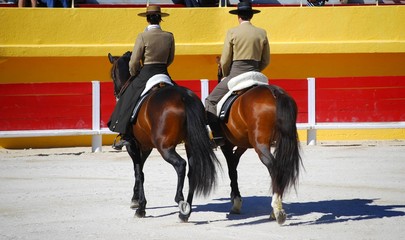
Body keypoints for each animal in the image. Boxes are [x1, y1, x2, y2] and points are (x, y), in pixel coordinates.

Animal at [108, 52, 218, 221]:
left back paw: (180, 201)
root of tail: (184, 97)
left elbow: (139, 172)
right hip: (190, 144)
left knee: (180, 165)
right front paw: (136, 200)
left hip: (164, 147)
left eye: (112, 75)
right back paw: (185, 212)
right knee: (192, 171)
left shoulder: (133, 145)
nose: (116, 93)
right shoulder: (145, 146)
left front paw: (140, 207)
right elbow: (140, 170)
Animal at [218, 74, 300, 223]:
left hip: (260, 145)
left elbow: (231, 170)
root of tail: (275, 93)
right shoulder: (242, 145)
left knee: (273, 166)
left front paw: (236, 201)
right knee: (281, 167)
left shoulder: (226, 145)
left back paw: (277, 209)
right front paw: (234, 197)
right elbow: (234, 164)